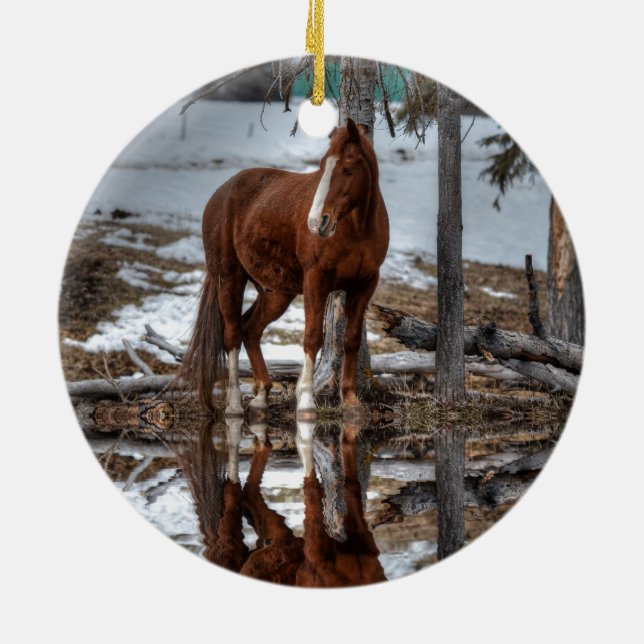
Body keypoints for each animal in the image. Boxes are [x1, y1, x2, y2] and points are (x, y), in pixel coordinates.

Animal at [179, 118, 389, 414]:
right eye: (322, 166)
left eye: (348, 168)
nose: (317, 222)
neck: (358, 229)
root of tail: (221, 193)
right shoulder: (316, 280)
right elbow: (312, 337)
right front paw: (306, 402)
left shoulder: (365, 284)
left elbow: (351, 339)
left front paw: (350, 400)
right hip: (229, 278)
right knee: (232, 334)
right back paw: (234, 403)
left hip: (276, 293)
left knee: (250, 329)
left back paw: (261, 394)